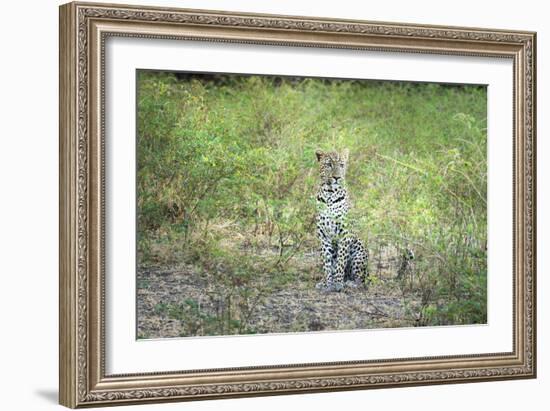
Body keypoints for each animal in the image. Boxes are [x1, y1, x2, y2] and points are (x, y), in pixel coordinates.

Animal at [316, 149, 368, 292]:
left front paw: (338, 283)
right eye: (329, 165)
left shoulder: (345, 233)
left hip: (358, 251)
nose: (337, 177)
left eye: (341, 165)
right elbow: (327, 263)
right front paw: (328, 283)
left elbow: (340, 260)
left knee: (361, 279)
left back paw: (349, 283)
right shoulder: (323, 235)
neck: (329, 193)